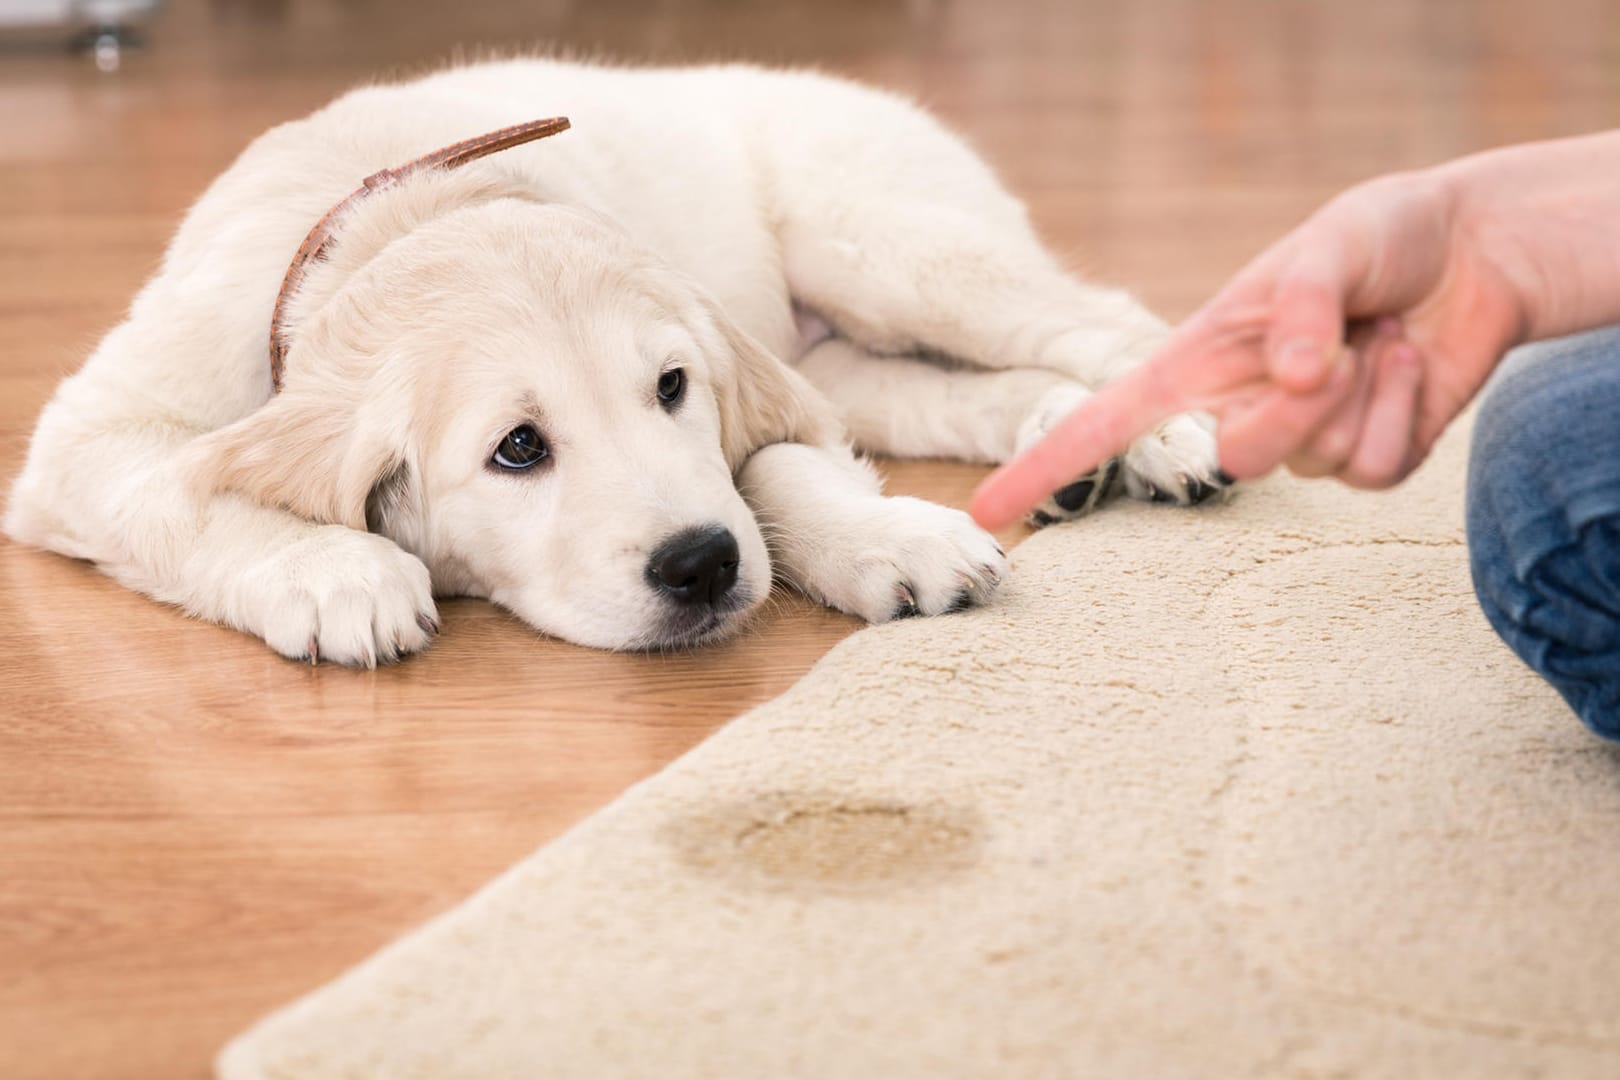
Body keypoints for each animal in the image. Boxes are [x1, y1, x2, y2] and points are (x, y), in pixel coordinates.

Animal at [0, 61, 1218, 667]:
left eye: (671, 389)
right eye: (517, 449)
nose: (702, 567)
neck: (399, 211)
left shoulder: (752, 381)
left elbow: (776, 467)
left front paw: (888, 537)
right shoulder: (90, 437)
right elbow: (182, 493)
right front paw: (334, 571)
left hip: (888, 244)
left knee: (1098, 318)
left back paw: (1166, 434)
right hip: (856, 347)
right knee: (956, 389)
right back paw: (1066, 450)